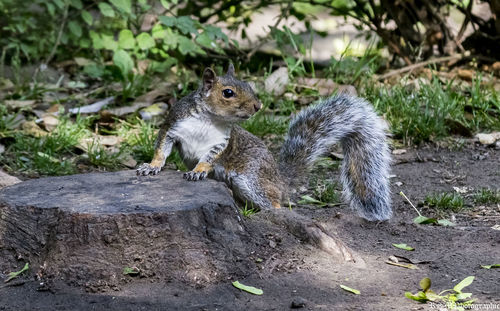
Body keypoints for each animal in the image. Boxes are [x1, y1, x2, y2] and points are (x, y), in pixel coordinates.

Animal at [136, 64, 390, 223]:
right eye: (228, 93)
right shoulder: (172, 127)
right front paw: (151, 166)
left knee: (275, 202)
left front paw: (198, 170)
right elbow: (161, 150)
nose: (258, 106)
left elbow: (209, 158)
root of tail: (280, 179)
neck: (209, 119)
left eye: (249, 86)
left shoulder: (221, 143)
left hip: (251, 178)